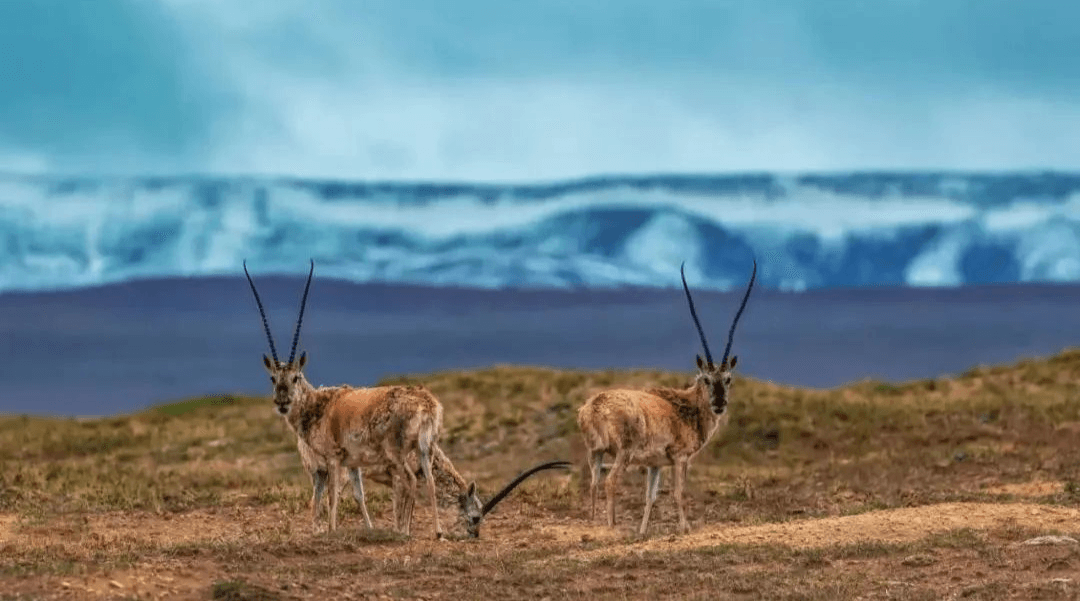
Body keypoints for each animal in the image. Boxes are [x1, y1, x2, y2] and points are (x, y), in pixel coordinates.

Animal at [246, 260, 574, 538]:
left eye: (296, 377)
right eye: (274, 379)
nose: (282, 402)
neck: (322, 405)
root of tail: (427, 404)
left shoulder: (341, 461)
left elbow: (345, 497)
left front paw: (339, 530)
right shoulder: (348, 464)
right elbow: (349, 496)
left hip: (393, 455)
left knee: (406, 483)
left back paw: (402, 532)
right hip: (421, 450)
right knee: (420, 482)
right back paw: (432, 532)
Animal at [578, 258, 756, 536]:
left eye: (728, 378)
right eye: (706, 379)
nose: (719, 404)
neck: (686, 407)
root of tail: (595, 406)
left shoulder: (656, 464)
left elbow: (650, 496)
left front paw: (642, 531)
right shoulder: (680, 459)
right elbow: (678, 493)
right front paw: (685, 528)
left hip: (594, 453)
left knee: (594, 483)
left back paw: (595, 523)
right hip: (622, 454)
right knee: (610, 482)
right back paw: (611, 526)